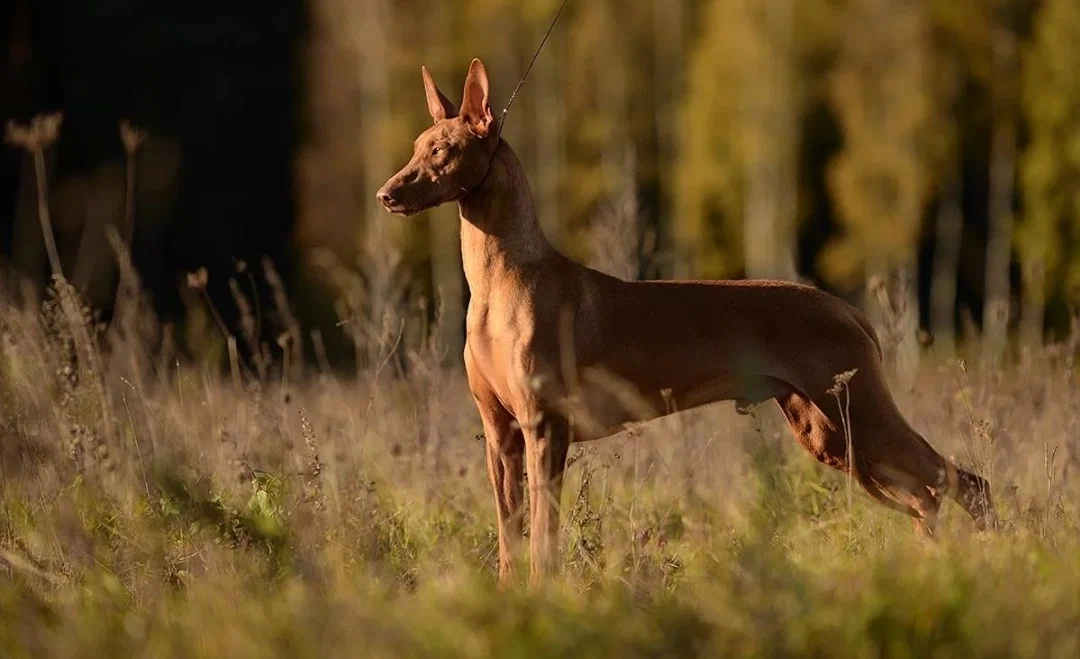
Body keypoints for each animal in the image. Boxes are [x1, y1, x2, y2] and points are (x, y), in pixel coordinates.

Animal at [380, 58, 993, 583]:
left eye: (442, 150)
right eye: (415, 148)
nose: (386, 194)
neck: (499, 283)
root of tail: (845, 308)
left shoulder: (544, 429)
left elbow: (542, 540)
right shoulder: (499, 435)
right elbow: (510, 538)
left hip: (859, 416)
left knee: (965, 484)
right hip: (830, 432)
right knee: (929, 496)